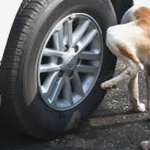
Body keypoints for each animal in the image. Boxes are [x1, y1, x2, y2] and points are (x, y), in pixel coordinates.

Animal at [100, 5, 150, 150]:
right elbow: (133, 88)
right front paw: (138, 108)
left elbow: (132, 83)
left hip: (113, 32)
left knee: (135, 66)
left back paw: (109, 84)